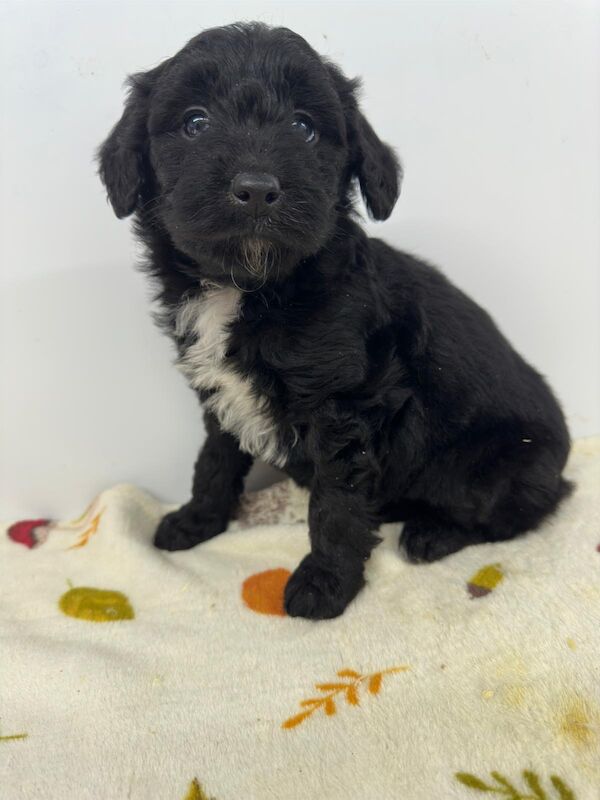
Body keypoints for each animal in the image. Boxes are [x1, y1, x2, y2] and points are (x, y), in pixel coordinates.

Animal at [98, 18, 572, 620]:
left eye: (304, 127)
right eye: (195, 122)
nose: (256, 188)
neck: (249, 286)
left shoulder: (345, 406)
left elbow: (335, 503)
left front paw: (323, 585)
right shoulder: (219, 394)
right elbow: (215, 459)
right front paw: (196, 521)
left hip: (496, 467)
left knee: (507, 517)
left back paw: (431, 533)